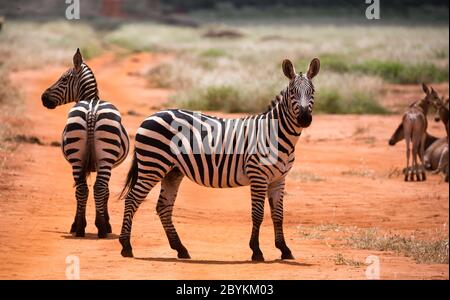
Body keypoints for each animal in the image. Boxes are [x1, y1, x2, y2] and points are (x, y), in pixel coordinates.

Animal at [40, 49, 130, 239]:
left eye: (63, 79)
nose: (43, 98)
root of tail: (91, 110)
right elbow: (104, 192)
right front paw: (105, 223)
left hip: (80, 158)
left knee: (83, 189)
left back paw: (83, 227)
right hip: (102, 158)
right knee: (96, 188)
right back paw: (98, 228)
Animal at [118, 56, 318, 260]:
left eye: (312, 92)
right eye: (293, 92)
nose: (304, 119)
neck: (275, 135)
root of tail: (151, 116)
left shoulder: (279, 179)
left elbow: (278, 215)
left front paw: (284, 249)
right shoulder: (258, 176)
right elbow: (258, 214)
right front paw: (256, 251)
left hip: (172, 171)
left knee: (163, 207)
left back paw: (180, 248)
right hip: (153, 165)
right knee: (132, 199)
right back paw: (126, 246)